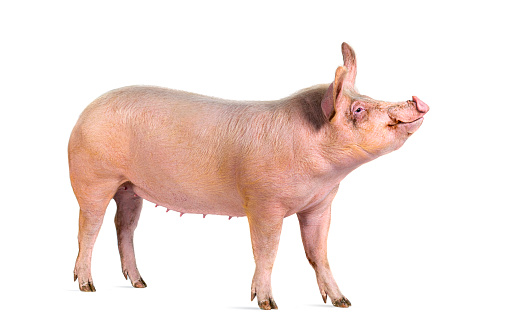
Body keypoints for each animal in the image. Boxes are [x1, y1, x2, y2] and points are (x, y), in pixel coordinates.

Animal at [68, 41, 428, 308]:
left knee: (124, 227)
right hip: (93, 178)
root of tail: (85, 113)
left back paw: (141, 284)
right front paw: (268, 305)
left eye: (366, 96)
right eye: (358, 110)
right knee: (89, 229)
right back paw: (88, 287)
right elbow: (267, 250)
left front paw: (343, 302)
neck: (323, 173)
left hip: (129, 188)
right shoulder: (263, 201)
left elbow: (318, 253)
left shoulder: (320, 204)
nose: (417, 100)